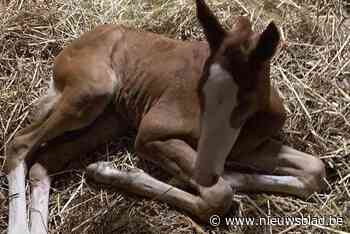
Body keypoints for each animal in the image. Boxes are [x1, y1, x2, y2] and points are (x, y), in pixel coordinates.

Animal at [5, 0, 326, 233]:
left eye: (245, 95)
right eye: (200, 87)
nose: (209, 165)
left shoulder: (246, 148)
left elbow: (314, 169)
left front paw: (110, 170)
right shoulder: (152, 132)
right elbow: (218, 195)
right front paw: (119, 172)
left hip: (110, 119)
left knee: (45, 161)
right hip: (92, 91)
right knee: (20, 143)